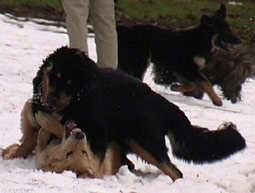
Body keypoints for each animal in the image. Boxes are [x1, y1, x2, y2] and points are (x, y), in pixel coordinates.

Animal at [1, 46, 245, 181]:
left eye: (72, 85)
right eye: (54, 77)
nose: (49, 102)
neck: (77, 101)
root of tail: (165, 104)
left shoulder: (96, 133)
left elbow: (59, 128)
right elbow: (30, 138)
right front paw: (15, 154)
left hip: (143, 142)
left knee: (176, 171)